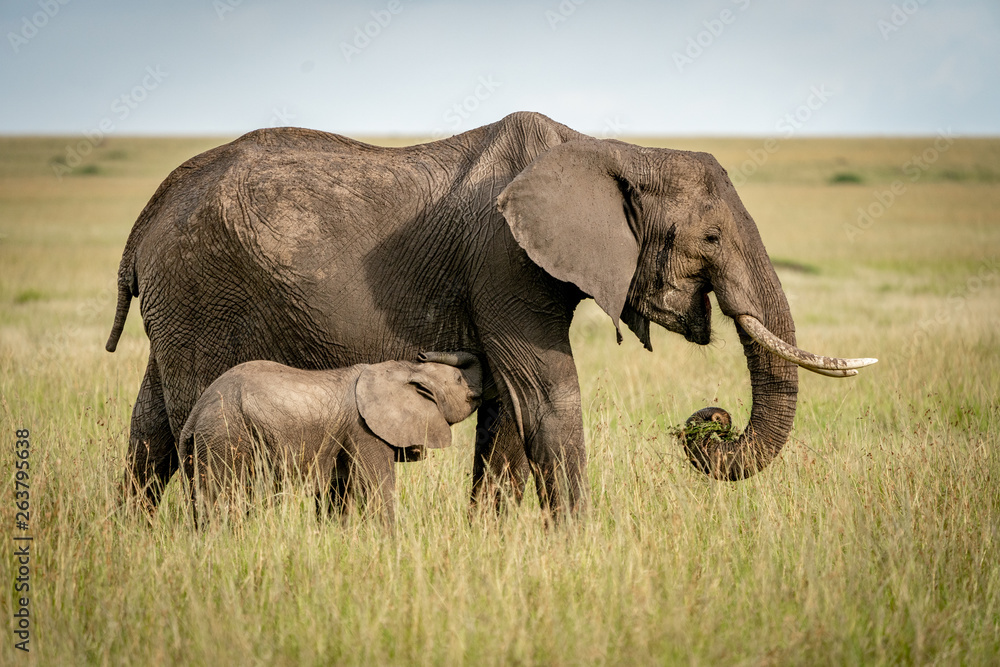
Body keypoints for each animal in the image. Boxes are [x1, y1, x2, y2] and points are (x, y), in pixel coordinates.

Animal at [178, 352, 483, 524]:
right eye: (458, 380)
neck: (401, 370)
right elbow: (376, 488)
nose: (423, 352)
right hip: (226, 435)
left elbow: (340, 495)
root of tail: (194, 415)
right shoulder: (364, 430)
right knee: (223, 499)